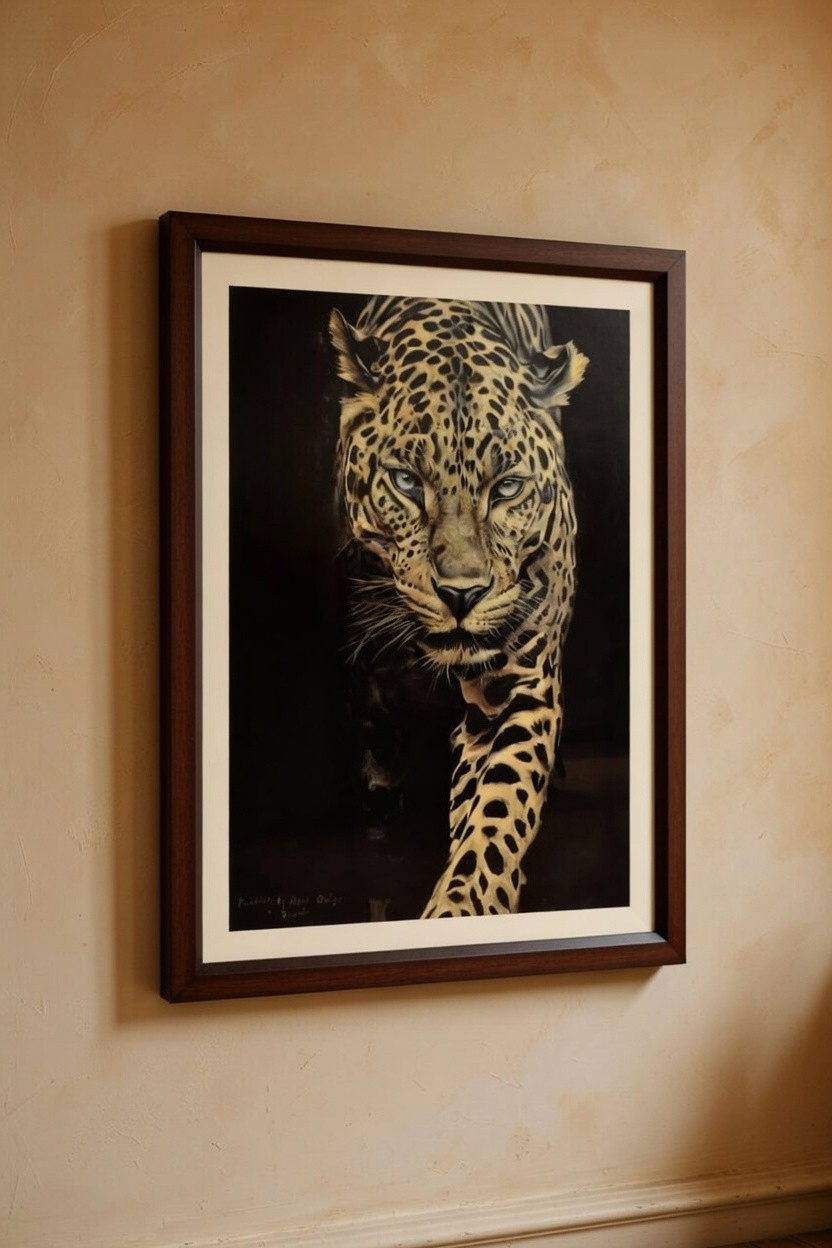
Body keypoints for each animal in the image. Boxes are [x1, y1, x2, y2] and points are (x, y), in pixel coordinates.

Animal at [329, 294, 588, 918]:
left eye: (508, 487)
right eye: (405, 481)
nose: (462, 594)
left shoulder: (521, 687)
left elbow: (498, 809)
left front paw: (462, 907)